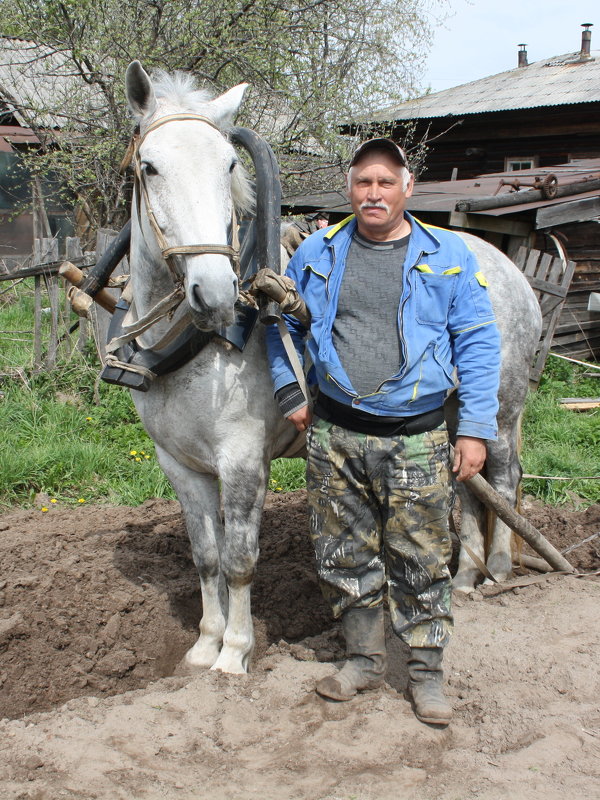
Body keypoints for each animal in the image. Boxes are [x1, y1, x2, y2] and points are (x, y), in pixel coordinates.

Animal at [122, 62, 544, 676]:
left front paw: (235, 654)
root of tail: (507, 267)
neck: (195, 346)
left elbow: (239, 558)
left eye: (228, 165)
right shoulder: (178, 464)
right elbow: (205, 557)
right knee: (469, 486)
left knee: (505, 480)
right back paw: (465, 573)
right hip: (451, 415)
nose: (215, 292)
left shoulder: (243, 461)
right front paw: (203, 645)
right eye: (149, 167)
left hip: (499, 409)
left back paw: (499, 570)